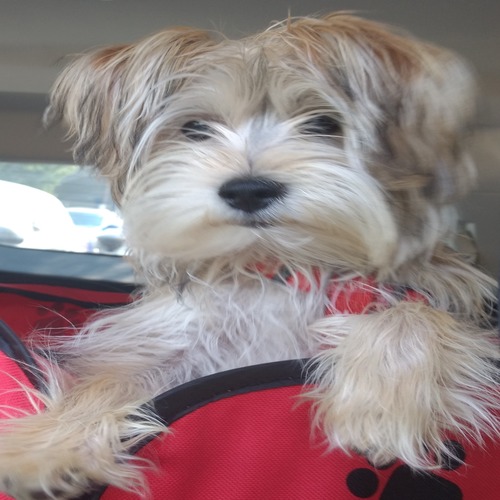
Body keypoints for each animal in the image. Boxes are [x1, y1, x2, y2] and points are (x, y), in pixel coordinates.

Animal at [0, 12, 498, 499]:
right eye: (195, 129)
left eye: (324, 124)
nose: (248, 189)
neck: (278, 264)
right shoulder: (167, 351)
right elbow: (106, 382)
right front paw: (46, 447)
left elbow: (411, 315)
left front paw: (380, 409)